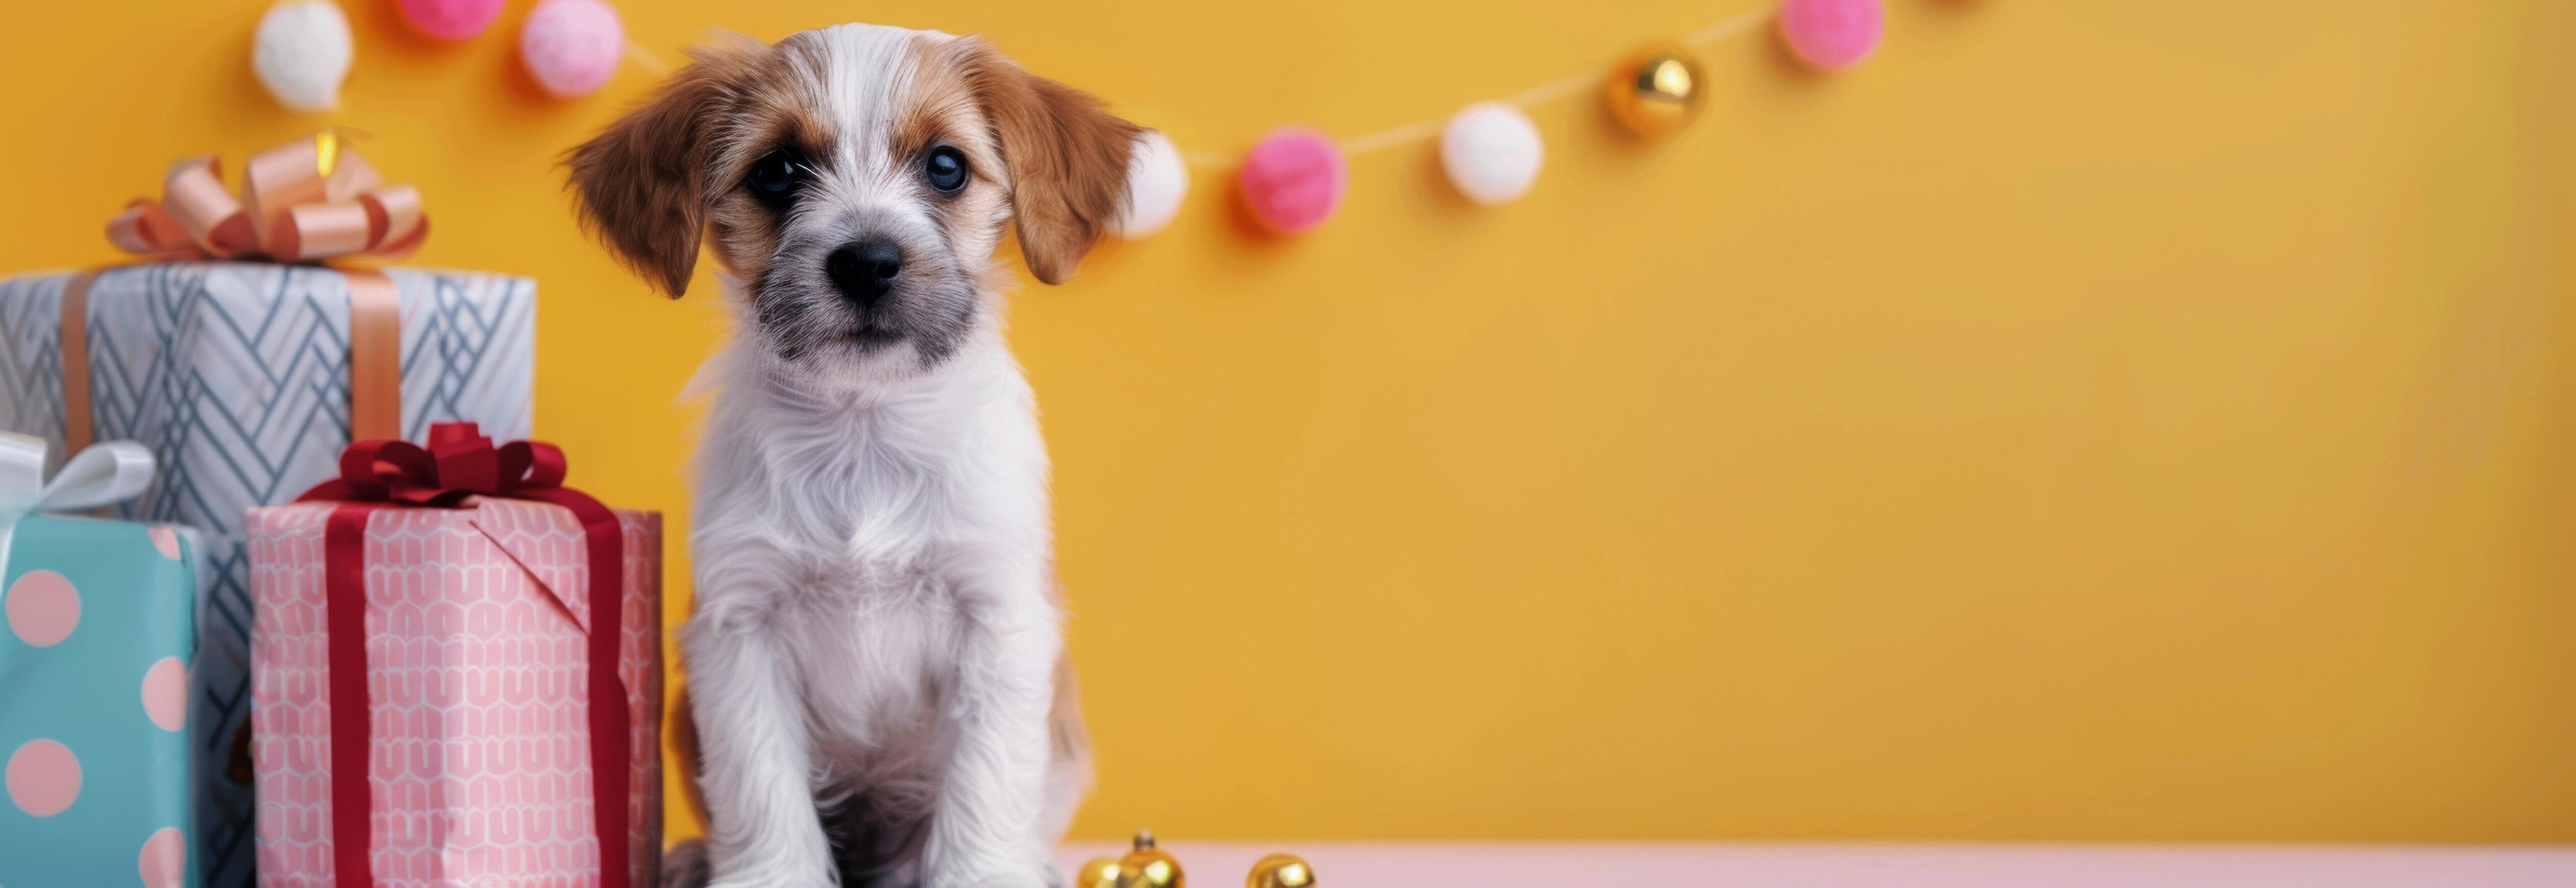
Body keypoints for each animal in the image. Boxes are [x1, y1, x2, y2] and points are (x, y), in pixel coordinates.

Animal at [574, 22, 1138, 885]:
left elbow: (983, 784)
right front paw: (770, 875)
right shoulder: (742, 626)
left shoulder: (998, 617)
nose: (867, 262)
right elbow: (763, 785)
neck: (863, 428)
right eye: (778, 172)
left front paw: (980, 874)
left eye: (946, 166)